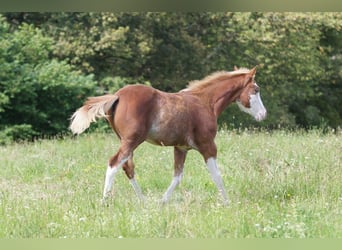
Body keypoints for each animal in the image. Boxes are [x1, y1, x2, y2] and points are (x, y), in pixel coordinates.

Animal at [69, 66, 268, 205]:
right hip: (132, 141)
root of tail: (117, 96)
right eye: (256, 89)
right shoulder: (208, 145)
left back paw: (143, 201)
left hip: (126, 141)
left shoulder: (181, 147)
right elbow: (216, 175)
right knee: (114, 164)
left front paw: (162, 202)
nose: (263, 114)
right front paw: (227, 203)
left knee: (128, 167)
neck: (205, 103)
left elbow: (177, 176)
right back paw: (105, 202)